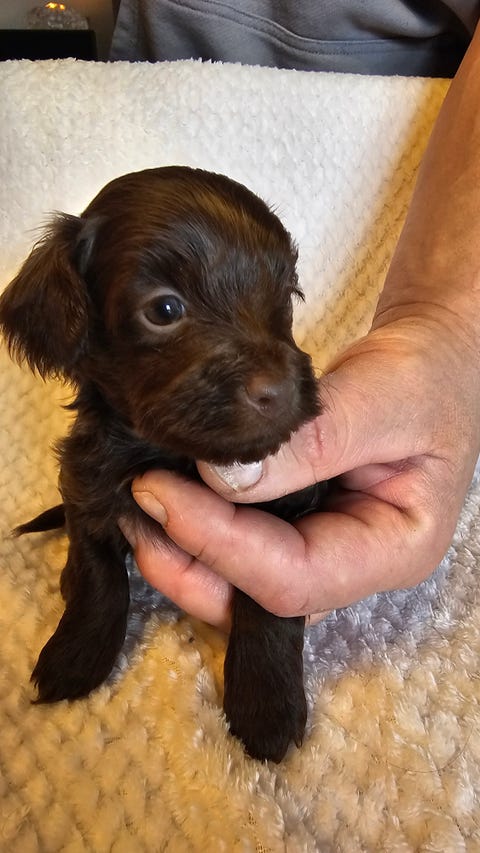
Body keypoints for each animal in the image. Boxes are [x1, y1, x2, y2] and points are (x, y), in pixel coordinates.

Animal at [0, 166, 326, 762]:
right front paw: (76, 655)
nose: (280, 389)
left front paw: (265, 704)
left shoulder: (288, 510)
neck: (168, 453)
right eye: (164, 310)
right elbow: (102, 577)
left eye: (288, 299)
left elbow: (269, 599)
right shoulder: (88, 487)